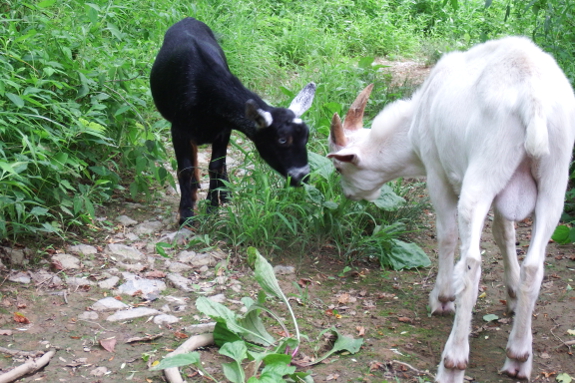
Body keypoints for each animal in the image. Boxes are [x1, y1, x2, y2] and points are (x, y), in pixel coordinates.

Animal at [151, 18, 318, 226]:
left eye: (306, 137)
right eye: (282, 140)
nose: (302, 177)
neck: (205, 93)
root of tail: (188, 19)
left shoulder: (224, 130)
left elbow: (215, 166)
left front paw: (213, 206)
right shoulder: (179, 129)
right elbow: (185, 168)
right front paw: (186, 214)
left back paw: (224, 192)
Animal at [328, 36, 575, 383]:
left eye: (339, 168)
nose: (347, 195)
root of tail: (533, 97)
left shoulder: (437, 173)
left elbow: (446, 235)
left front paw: (442, 297)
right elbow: (504, 232)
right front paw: (512, 294)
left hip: (482, 173)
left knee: (472, 263)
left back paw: (453, 361)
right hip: (555, 178)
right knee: (534, 265)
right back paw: (518, 355)